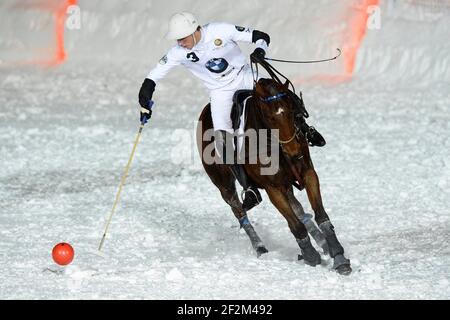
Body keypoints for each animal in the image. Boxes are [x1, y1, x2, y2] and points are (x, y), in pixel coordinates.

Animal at [195, 75, 354, 276]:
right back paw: (260, 247)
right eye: (269, 117)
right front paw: (310, 255)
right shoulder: (273, 188)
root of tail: (205, 112)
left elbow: (320, 215)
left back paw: (322, 243)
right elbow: (295, 225)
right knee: (239, 211)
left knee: (298, 208)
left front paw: (338, 256)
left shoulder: (308, 173)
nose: (293, 151)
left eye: (293, 111)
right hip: (224, 184)